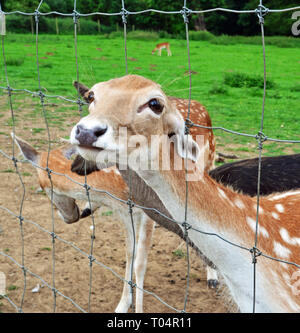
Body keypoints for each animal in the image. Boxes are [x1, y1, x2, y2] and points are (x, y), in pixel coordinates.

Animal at [69, 74, 300, 312]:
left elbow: (140, 261)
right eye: (91, 96)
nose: (86, 132)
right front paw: (123, 305)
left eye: (155, 103)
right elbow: (130, 253)